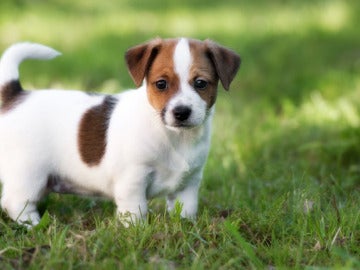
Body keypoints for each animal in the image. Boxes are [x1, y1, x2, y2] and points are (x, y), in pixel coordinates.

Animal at [0, 38, 242, 227]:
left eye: (200, 83)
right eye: (161, 84)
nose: (181, 112)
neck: (173, 137)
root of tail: (16, 96)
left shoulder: (189, 183)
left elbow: (186, 210)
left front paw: (186, 228)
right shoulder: (133, 180)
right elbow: (136, 211)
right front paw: (137, 232)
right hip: (30, 174)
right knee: (13, 201)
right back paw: (31, 223)